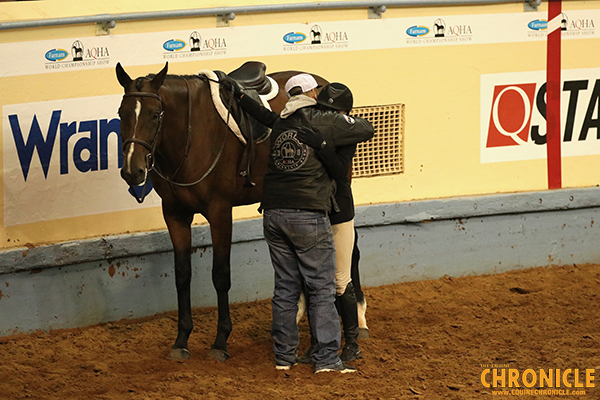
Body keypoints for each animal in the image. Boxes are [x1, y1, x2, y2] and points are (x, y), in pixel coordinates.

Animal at [114, 62, 330, 362]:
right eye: (121, 114)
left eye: (155, 114)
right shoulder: (175, 213)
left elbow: (220, 275)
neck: (190, 135)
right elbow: (182, 274)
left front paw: (220, 341)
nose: (132, 171)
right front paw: (181, 340)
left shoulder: (220, 211)